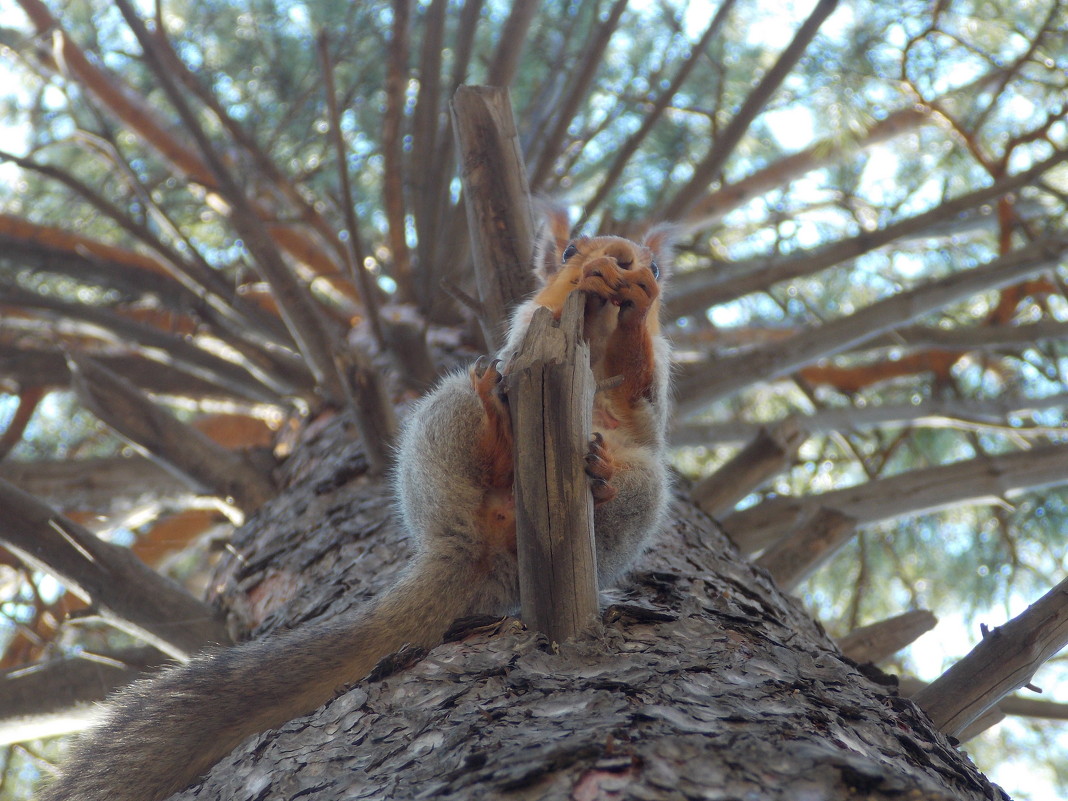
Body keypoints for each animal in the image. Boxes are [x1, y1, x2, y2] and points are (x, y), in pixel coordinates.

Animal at [41, 213, 674, 801]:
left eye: (659, 265)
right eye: (568, 250)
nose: (623, 260)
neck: (593, 335)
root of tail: (473, 546)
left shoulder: (644, 392)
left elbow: (643, 391)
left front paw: (637, 303)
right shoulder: (525, 331)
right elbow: (536, 329)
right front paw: (595, 283)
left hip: (639, 486)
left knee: (622, 480)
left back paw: (600, 477)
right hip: (448, 417)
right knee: (482, 416)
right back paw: (497, 429)